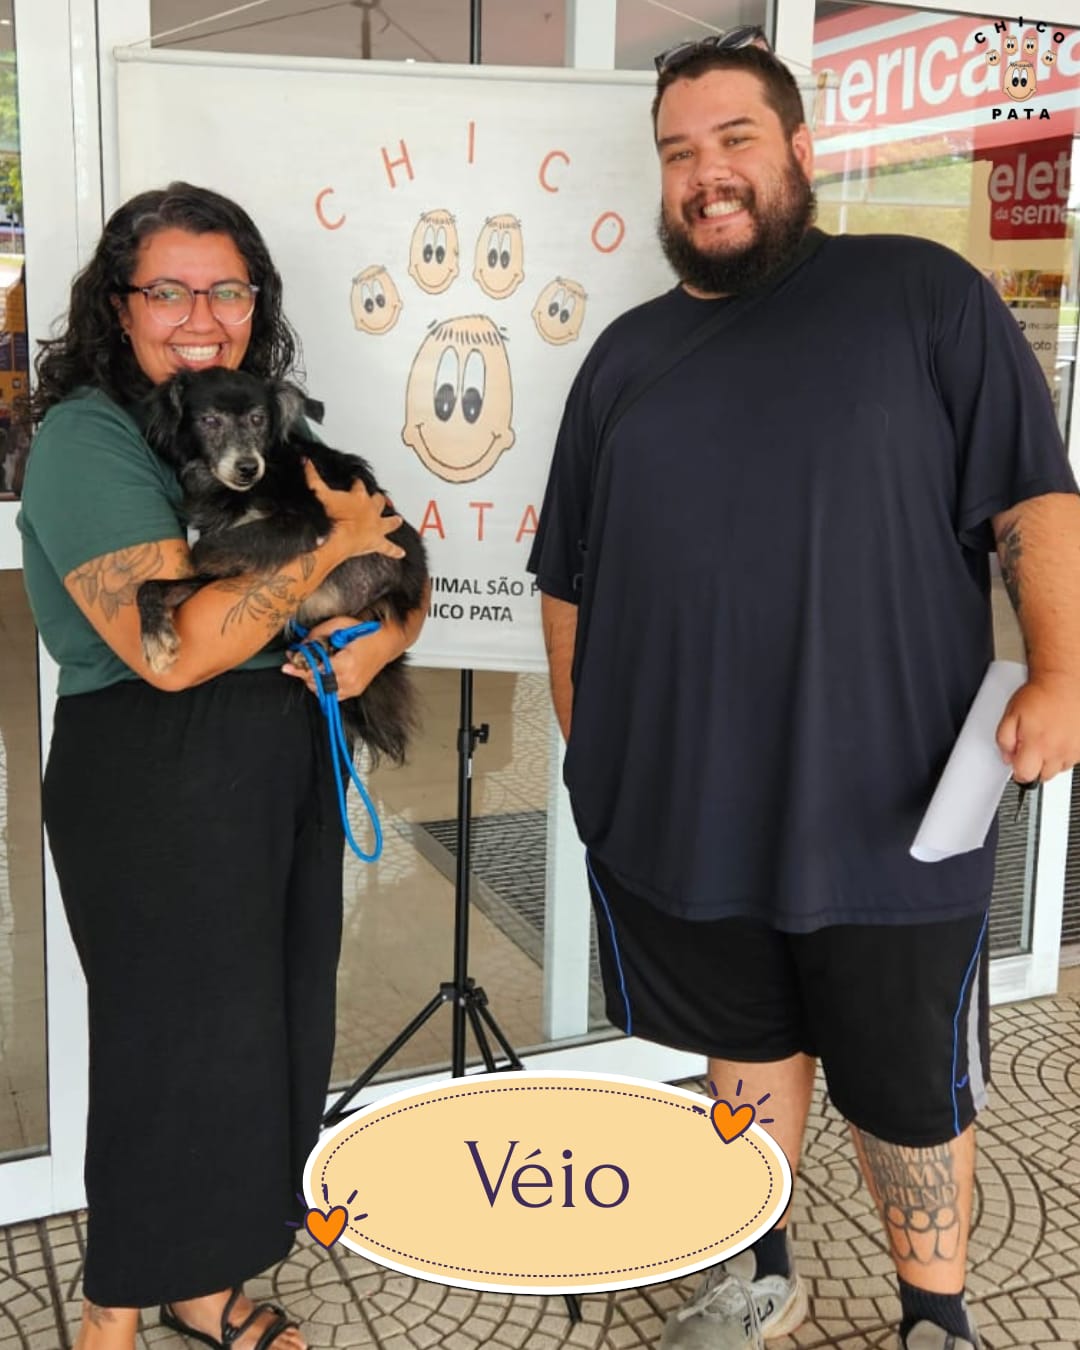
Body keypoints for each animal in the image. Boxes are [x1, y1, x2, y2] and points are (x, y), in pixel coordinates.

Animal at [136, 367, 428, 764]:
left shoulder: (304, 524)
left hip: (383, 597)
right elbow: (150, 585)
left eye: (259, 419)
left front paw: (198, 552)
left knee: (366, 624)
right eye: (209, 421)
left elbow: (219, 544)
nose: (247, 468)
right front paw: (156, 637)